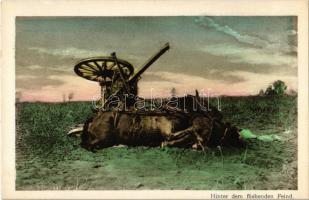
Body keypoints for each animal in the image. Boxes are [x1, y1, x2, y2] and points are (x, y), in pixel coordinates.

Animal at [80, 110, 243, 151]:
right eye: (232, 131)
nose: (241, 139)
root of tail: (94, 117)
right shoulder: (169, 133)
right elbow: (188, 133)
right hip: (102, 138)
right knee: (91, 145)